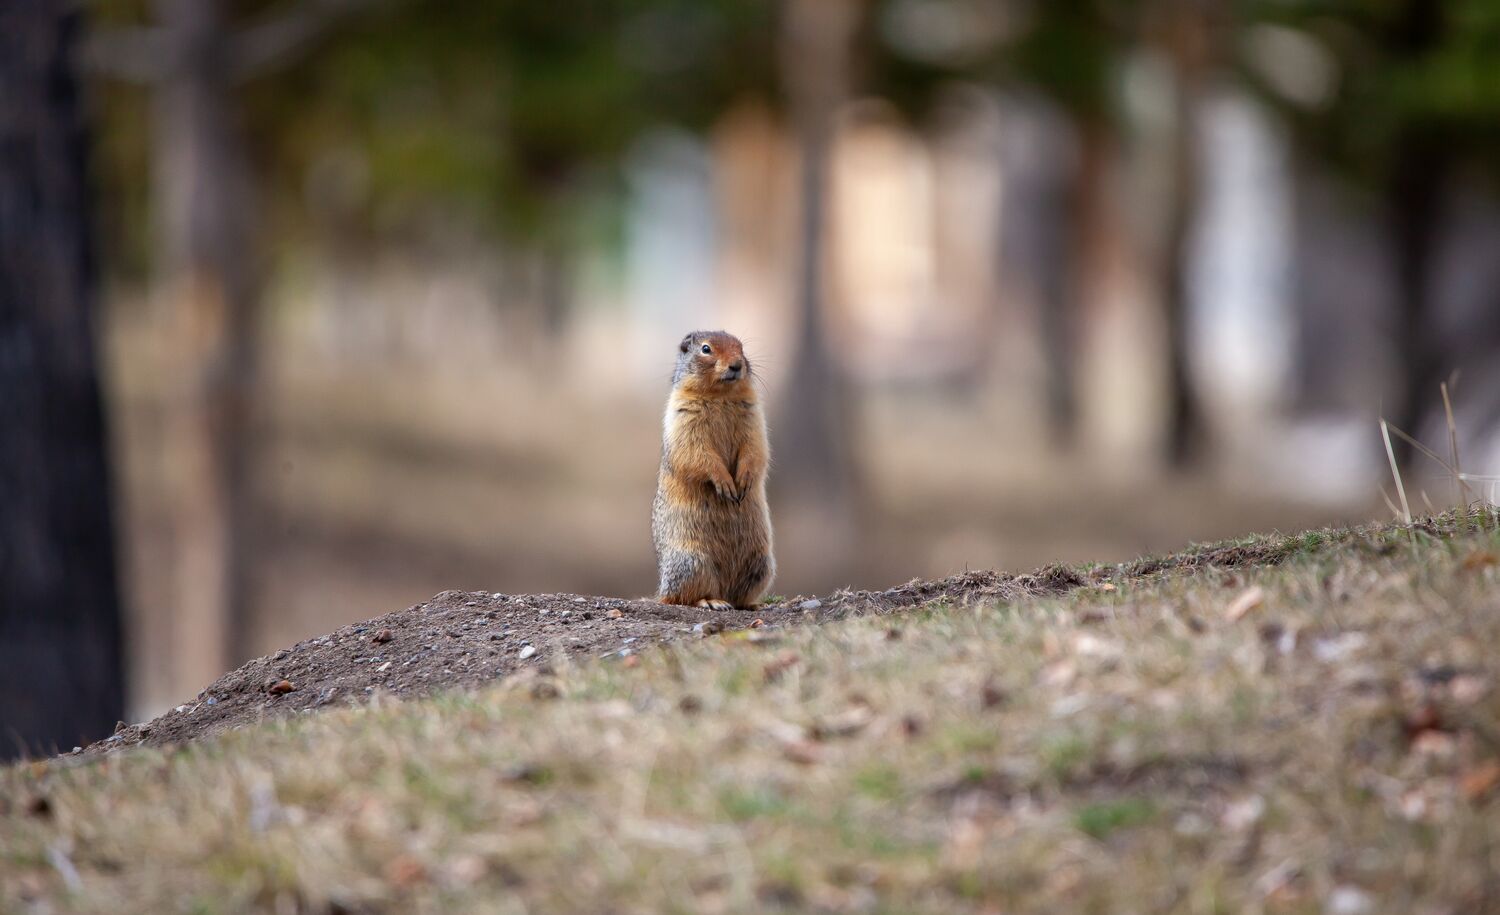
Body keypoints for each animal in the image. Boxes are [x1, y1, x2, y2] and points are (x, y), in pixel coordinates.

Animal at [652, 330, 775, 610]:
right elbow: (698, 453)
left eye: (741, 348)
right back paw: (712, 601)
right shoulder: (684, 416)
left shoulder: (754, 416)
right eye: (706, 349)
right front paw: (726, 484)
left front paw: (744, 479)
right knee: (683, 597)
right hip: (691, 562)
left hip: (762, 563)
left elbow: (755, 448)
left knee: (740, 595)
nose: (737, 365)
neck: (721, 395)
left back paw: (752, 604)